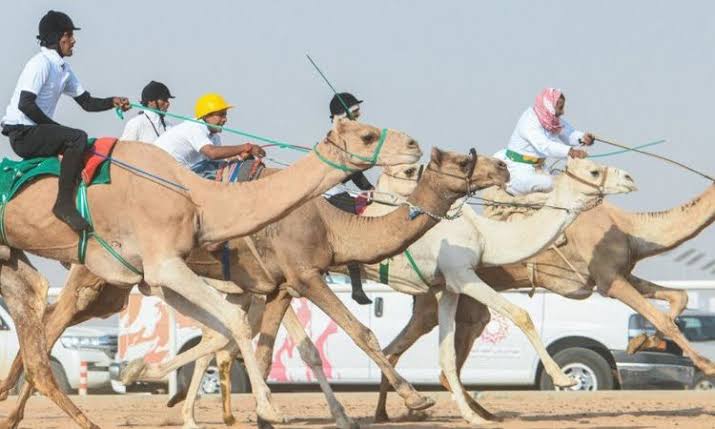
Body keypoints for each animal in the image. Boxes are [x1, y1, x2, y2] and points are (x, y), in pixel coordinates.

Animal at [0, 147, 510, 428]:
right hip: (100, 280)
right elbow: (359, 332)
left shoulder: (278, 287)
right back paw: (20, 407)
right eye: (463, 160)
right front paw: (416, 398)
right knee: (51, 323)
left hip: (121, 284)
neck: (331, 225)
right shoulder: (304, 274)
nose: (502, 168)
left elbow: (280, 351)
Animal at [372, 178, 712, 422]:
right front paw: (707, 365)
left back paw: (391, 413)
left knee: (408, 351)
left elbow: (679, 297)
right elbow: (664, 319)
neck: (631, 229)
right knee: (420, 352)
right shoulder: (609, 279)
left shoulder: (620, 274)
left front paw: (641, 342)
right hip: (436, 297)